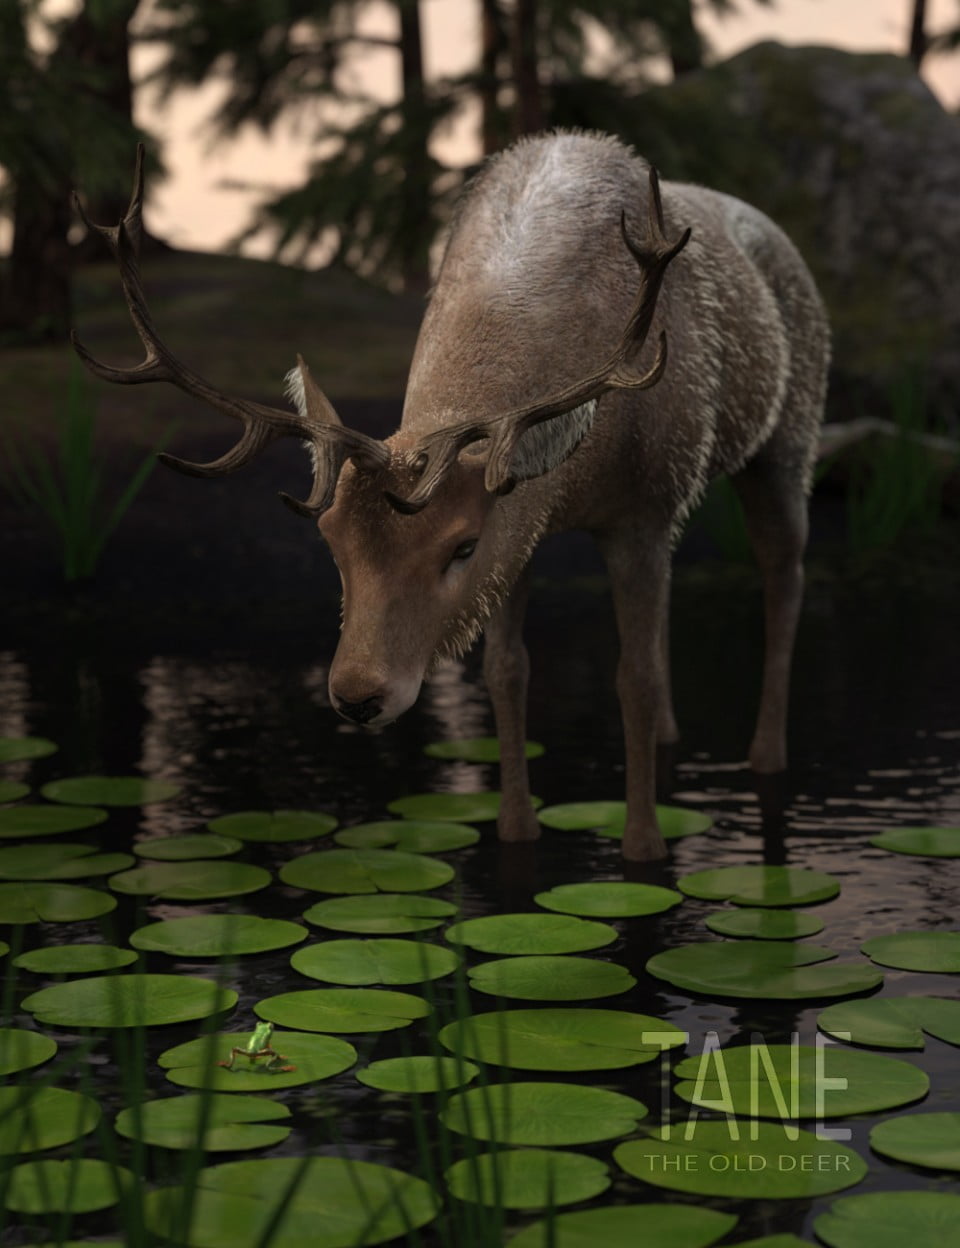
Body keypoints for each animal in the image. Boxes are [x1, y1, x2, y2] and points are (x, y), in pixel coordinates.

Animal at [72, 132, 830, 861]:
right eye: (332, 542)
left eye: (461, 545)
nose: (358, 696)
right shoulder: (523, 529)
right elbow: (505, 670)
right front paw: (516, 828)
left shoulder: (644, 504)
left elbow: (632, 678)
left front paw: (644, 849)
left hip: (791, 432)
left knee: (784, 573)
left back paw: (768, 755)